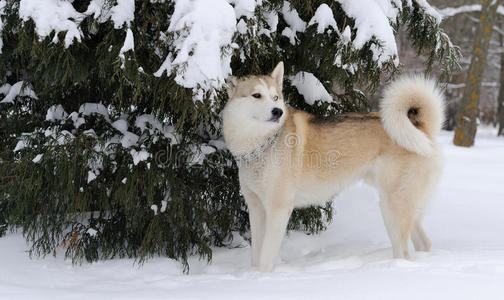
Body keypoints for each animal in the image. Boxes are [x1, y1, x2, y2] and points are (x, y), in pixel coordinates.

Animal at [222, 62, 442, 274]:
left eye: (275, 97)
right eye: (256, 95)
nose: (278, 111)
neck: (261, 144)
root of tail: (420, 127)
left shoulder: (278, 210)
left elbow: (266, 259)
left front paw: (262, 278)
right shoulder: (256, 210)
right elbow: (256, 256)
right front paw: (253, 276)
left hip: (393, 207)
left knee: (404, 251)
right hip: (402, 207)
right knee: (423, 243)